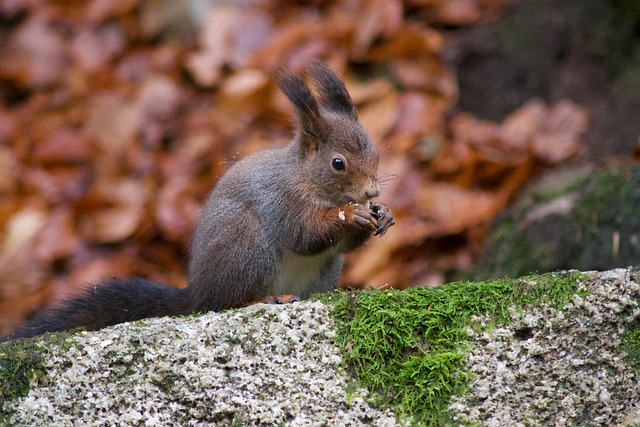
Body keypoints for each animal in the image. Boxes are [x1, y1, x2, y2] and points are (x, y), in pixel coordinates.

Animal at [6, 61, 396, 342]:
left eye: (374, 149)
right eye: (338, 163)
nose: (373, 192)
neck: (307, 179)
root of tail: (197, 293)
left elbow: (340, 244)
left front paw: (383, 215)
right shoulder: (281, 200)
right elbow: (304, 234)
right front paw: (350, 213)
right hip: (244, 244)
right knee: (225, 303)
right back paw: (265, 299)